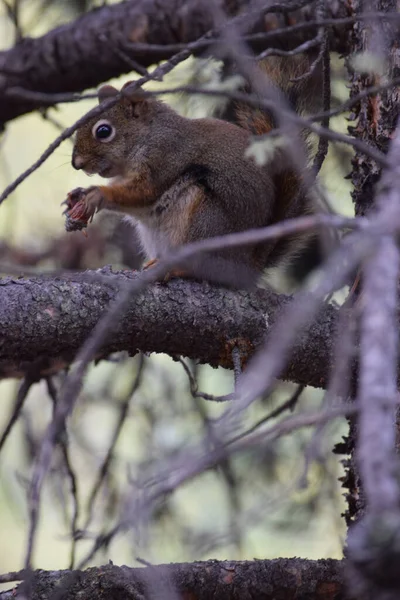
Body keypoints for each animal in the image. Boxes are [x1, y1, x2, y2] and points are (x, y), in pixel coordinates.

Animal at [64, 55, 324, 290]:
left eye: (103, 131)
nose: (76, 163)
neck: (147, 136)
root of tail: (246, 269)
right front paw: (76, 197)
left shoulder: (165, 158)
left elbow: (144, 192)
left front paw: (96, 195)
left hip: (206, 224)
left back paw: (176, 269)